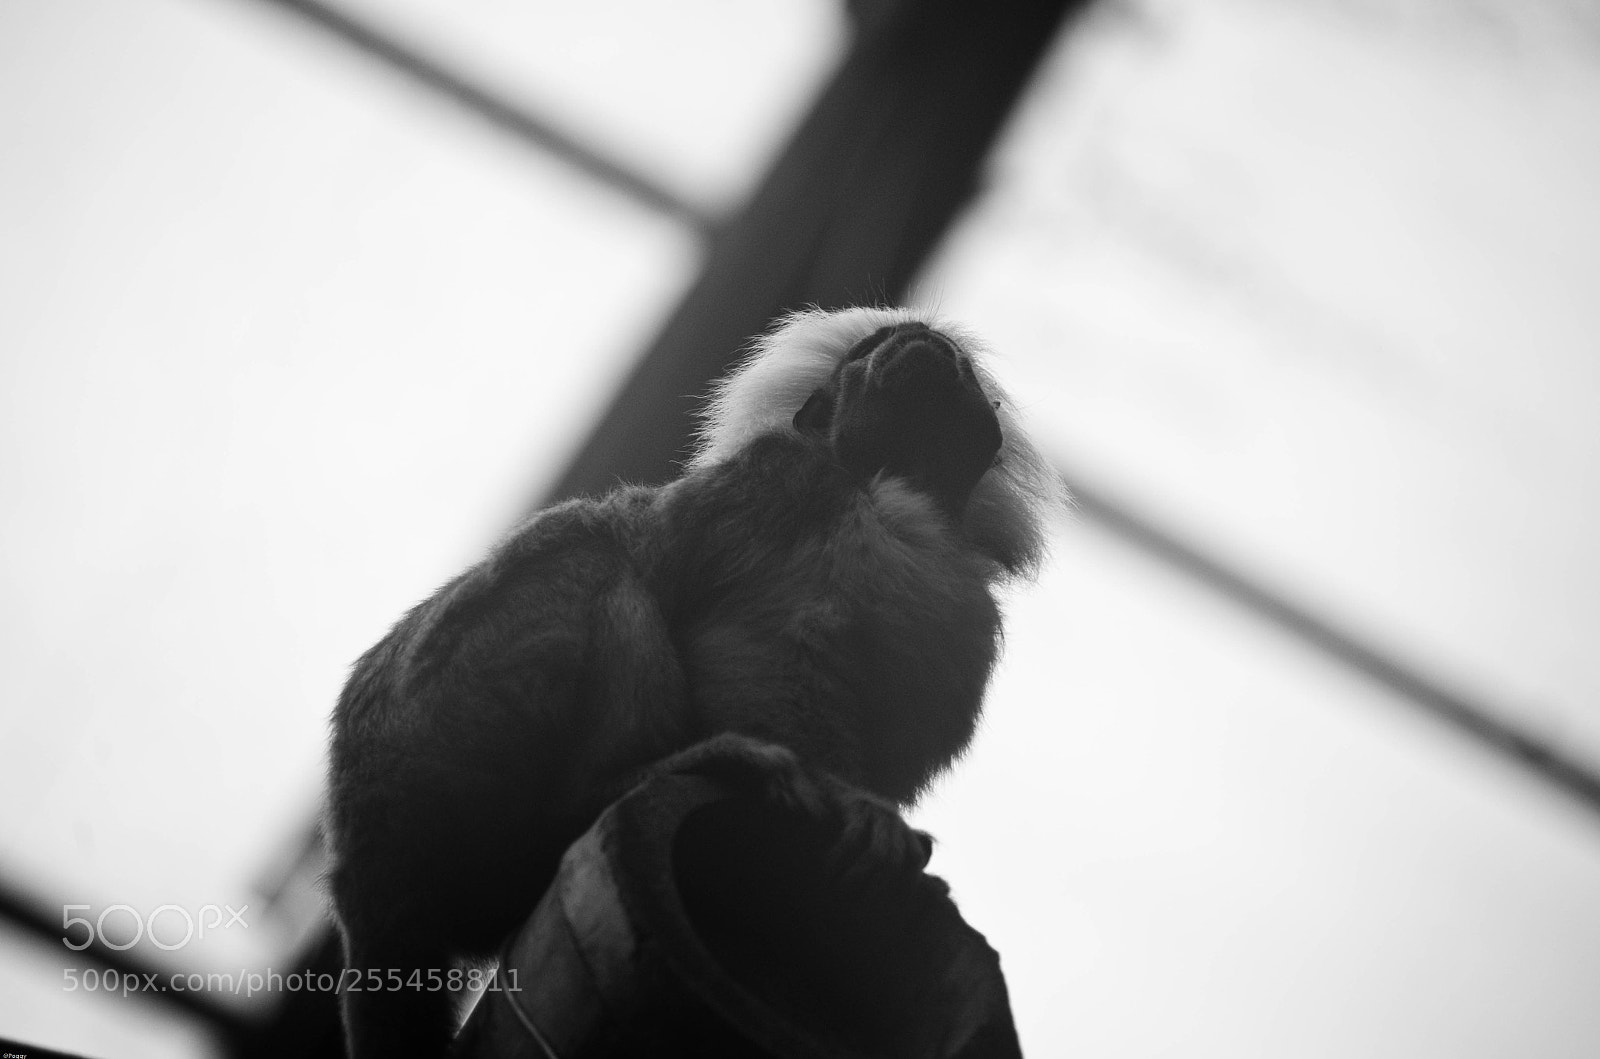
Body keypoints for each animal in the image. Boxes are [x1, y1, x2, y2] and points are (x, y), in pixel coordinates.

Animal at [325, 306, 1061, 1058]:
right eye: (874, 347)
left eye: (953, 363)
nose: (921, 346)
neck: (887, 493)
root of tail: (362, 876)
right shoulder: (778, 484)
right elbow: (757, 648)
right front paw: (843, 803)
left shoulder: (965, 617)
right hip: (443, 738)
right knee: (594, 558)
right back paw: (617, 785)